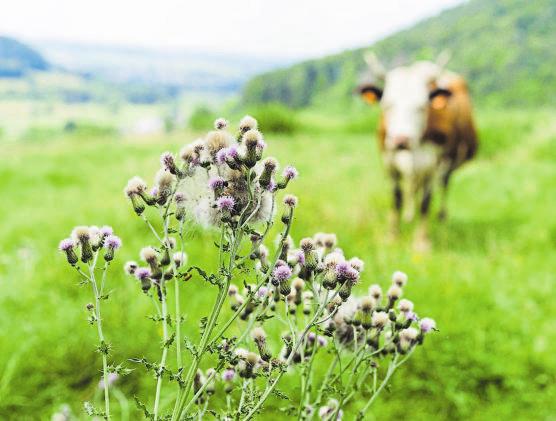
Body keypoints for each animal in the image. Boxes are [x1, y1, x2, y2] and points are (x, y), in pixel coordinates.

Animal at [358, 52, 480, 249]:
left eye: (422, 107)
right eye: (387, 105)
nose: (401, 140)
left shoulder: (434, 165)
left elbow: (426, 202)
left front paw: (422, 242)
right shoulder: (389, 161)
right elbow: (397, 198)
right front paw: (392, 236)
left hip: (449, 163)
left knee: (444, 184)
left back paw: (441, 216)